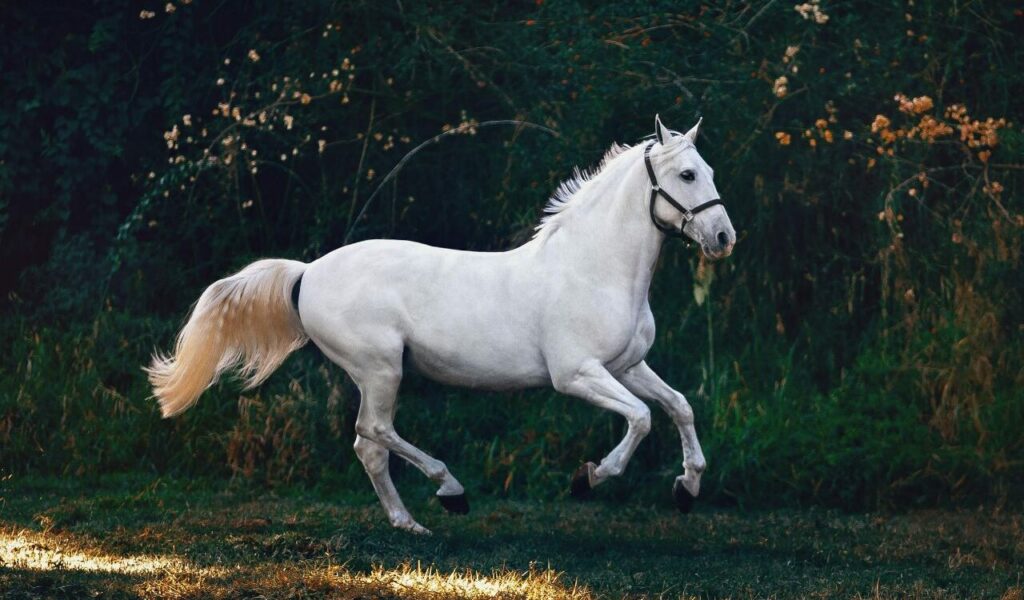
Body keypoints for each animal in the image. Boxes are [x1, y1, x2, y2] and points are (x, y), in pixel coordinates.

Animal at [147, 115, 736, 534]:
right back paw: (450, 492)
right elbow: (641, 418)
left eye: (710, 172)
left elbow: (679, 406)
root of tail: (308, 272)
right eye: (687, 174)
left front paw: (687, 488)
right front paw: (588, 478)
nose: (724, 238)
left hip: (378, 374)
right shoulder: (577, 375)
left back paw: (410, 524)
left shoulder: (628, 366)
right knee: (374, 432)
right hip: (381, 368)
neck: (594, 268)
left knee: (368, 446)